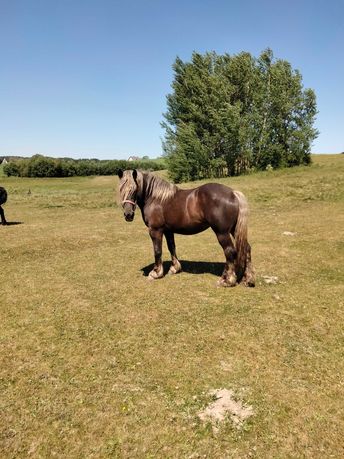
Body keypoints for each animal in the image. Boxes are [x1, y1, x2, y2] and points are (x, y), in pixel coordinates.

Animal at [118, 169, 255, 288]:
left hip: (222, 233)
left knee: (229, 251)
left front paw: (156, 273)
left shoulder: (155, 230)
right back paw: (248, 279)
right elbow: (171, 247)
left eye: (134, 189)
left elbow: (157, 251)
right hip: (233, 230)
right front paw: (174, 268)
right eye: (121, 190)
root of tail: (233, 193)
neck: (156, 198)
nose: (128, 215)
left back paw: (227, 280)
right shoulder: (168, 230)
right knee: (247, 248)